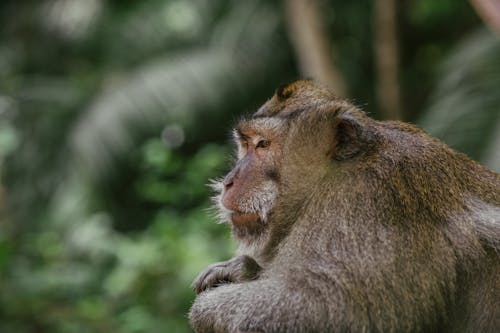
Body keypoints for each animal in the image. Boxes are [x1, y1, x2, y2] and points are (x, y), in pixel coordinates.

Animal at [188, 80, 500, 332]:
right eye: (245, 144)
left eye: (263, 144)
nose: (229, 181)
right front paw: (242, 270)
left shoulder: (367, 200)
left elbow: (335, 308)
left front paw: (207, 309)